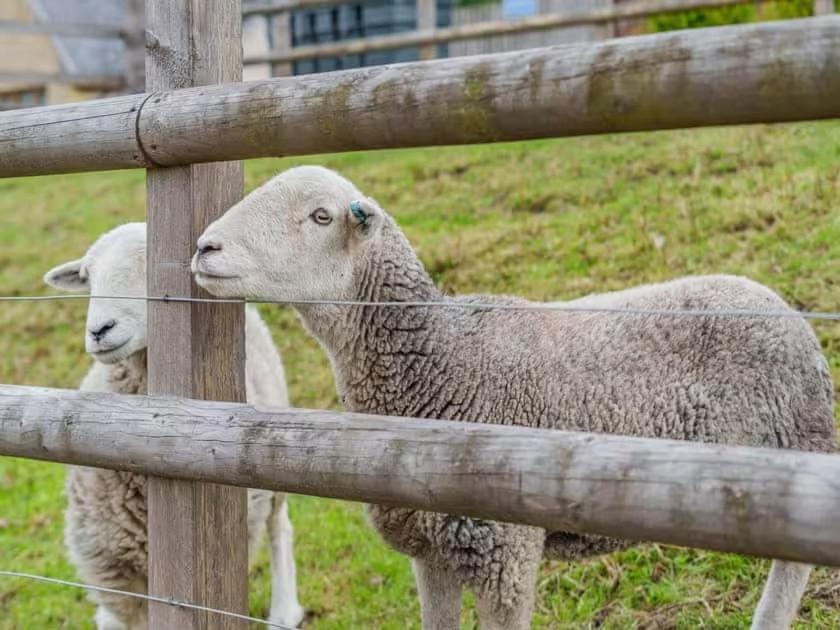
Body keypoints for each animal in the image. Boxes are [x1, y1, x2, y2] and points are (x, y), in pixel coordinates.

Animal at [189, 167, 832, 630]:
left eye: (320, 216)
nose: (204, 248)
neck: (439, 359)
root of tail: (777, 303)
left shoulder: (506, 554)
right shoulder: (433, 555)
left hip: (796, 452)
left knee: (792, 571)